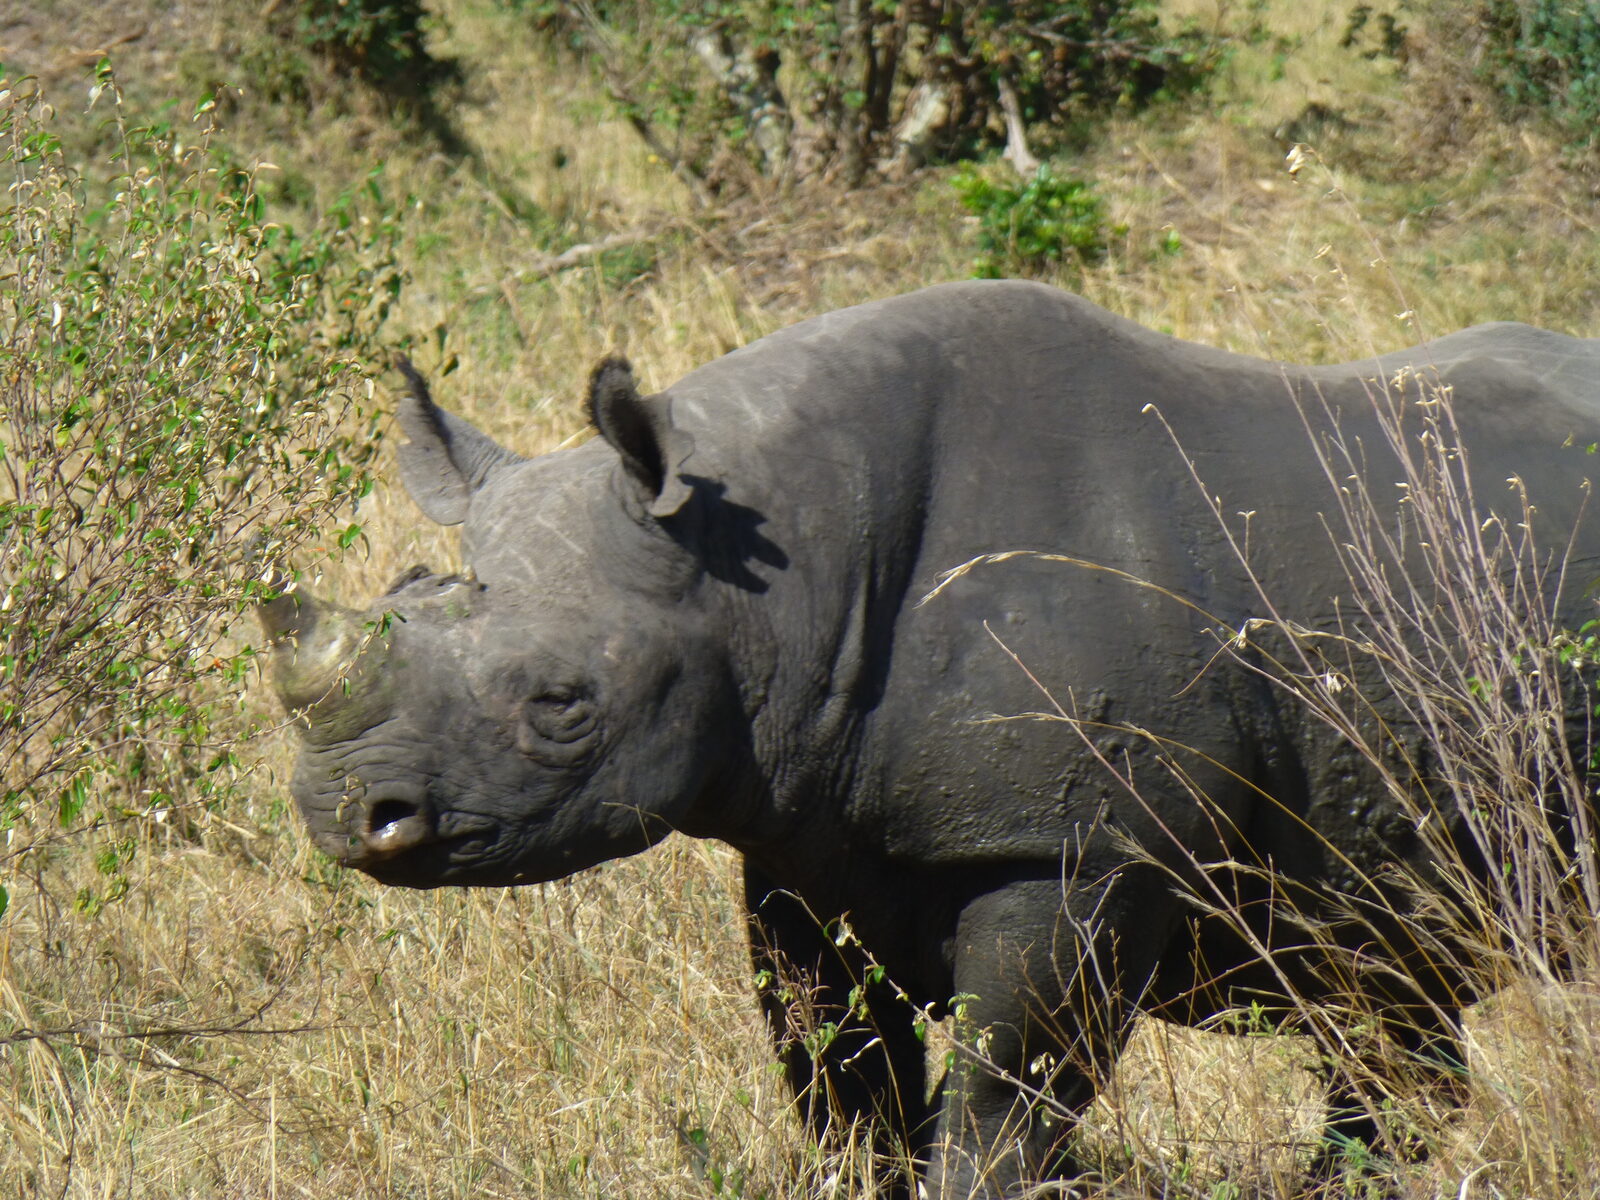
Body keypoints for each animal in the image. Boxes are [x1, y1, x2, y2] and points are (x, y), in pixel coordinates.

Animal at [261, 280, 1600, 1197]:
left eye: (562, 704)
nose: (346, 811)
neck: (777, 572)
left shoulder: (1070, 848)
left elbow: (1004, 1102)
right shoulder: (803, 832)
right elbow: (840, 1084)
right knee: (1391, 1007)